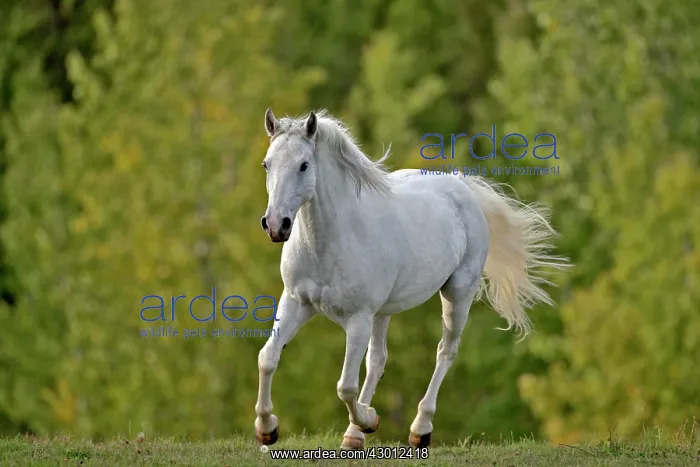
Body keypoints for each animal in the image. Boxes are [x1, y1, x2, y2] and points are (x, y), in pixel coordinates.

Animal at [254, 108, 569, 450]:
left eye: (304, 165)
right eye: (267, 164)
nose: (276, 225)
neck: (331, 240)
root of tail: (462, 186)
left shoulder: (358, 318)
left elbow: (345, 386)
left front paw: (369, 419)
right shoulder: (296, 302)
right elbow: (268, 358)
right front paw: (267, 429)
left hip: (457, 294)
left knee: (445, 351)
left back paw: (419, 429)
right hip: (383, 312)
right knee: (377, 361)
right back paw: (355, 435)